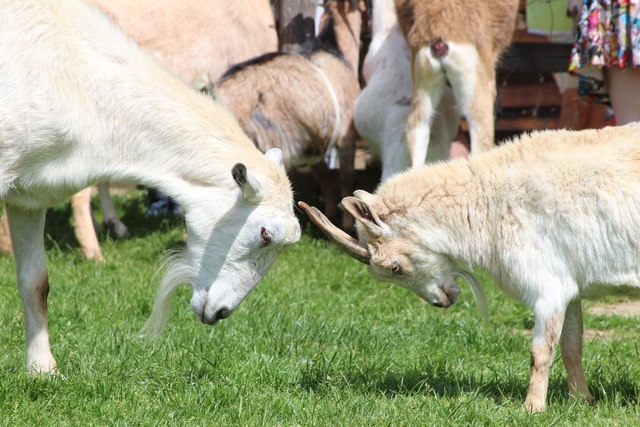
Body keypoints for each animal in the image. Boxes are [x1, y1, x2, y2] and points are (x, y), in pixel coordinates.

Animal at [213, 0, 363, 228]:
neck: (335, 51)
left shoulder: (313, 145)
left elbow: (325, 179)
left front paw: (325, 216)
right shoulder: (347, 134)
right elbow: (347, 179)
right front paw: (346, 224)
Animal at [300, 123, 640, 412]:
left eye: (395, 267)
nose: (441, 301)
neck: (491, 200)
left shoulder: (547, 287)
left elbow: (540, 352)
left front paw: (532, 408)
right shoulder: (569, 285)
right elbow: (572, 346)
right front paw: (581, 401)